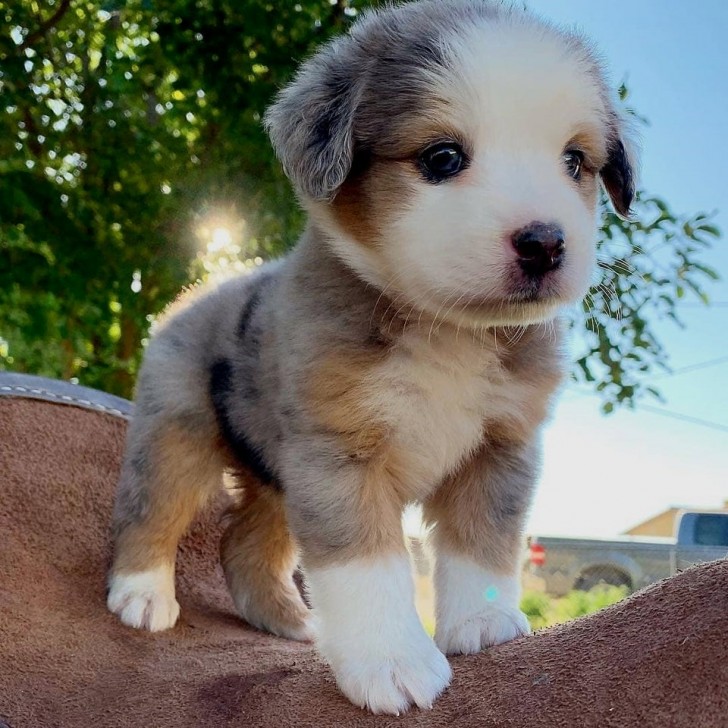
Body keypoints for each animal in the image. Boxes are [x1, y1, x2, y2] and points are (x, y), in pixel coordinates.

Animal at [105, 0, 636, 716]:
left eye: (575, 162)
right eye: (443, 157)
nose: (545, 243)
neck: (450, 332)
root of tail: (199, 292)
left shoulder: (501, 447)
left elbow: (483, 544)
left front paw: (483, 624)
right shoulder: (339, 454)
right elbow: (366, 568)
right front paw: (392, 663)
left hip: (275, 474)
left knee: (244, 542)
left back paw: (290, 622)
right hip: (177, 432)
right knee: (149, 509)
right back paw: (140, 594)